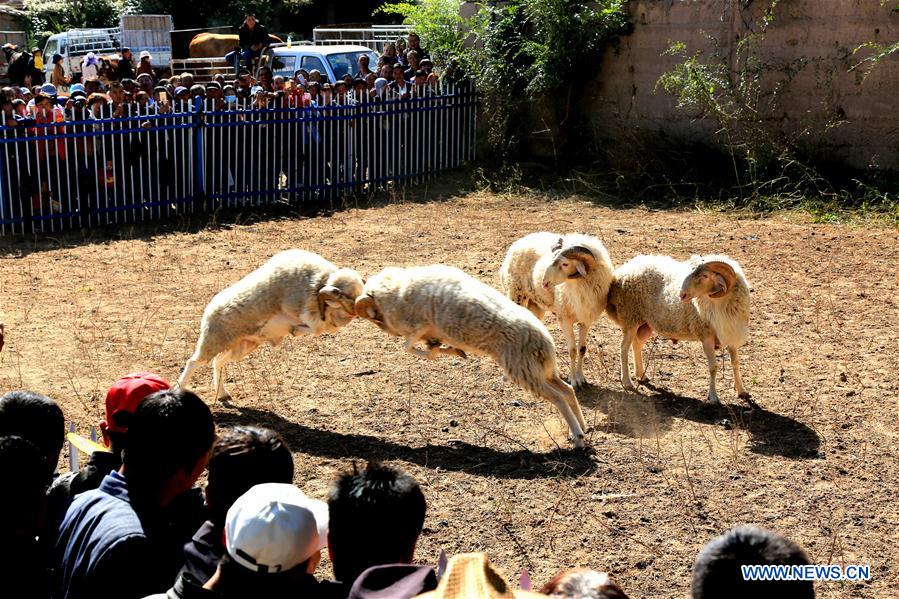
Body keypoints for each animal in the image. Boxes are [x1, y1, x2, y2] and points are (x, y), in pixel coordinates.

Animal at [178, 251, 364, 400]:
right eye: (347, 296)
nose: (361, 310)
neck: (317, 282)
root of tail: (209, 309)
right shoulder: (305, 315)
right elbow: (311, 328)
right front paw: (295, 330)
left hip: (242, 346)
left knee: (218, 362)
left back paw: (222, 393)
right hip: (213, 340)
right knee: (193, 362)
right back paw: (180, 389)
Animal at [356, 264, 596, 448]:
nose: (382, 327)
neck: (398, 292)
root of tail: (544, 339)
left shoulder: (420, 325)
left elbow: (409, 347)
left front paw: (440, 351)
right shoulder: (430, 331)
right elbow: (428, 346)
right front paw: (451, 350)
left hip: (524, 371)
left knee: (558, 398)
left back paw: (578, 437)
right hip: (542, 371)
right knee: (568, 390)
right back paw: (581, 427)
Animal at [500, 232, 620, 386]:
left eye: (565, 264)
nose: (544, 283)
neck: (579, 285)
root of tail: (519, 242)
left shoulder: (585, 320)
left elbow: (582, 349)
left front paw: (581, 377)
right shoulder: (565, 319)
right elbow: (572, 350)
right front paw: (574, 380)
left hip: (535, 305)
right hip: (516, 294)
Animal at [604, 253, 752, 404]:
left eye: (705, 275)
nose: (682, 295)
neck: (720, 303)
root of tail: (624, 269)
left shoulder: (732, 334)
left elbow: (735, 363)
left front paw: (742, 390)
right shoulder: (706, 336)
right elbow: (713, 367)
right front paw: (713, 396)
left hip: (644, 324)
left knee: (637, 344)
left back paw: (641, 375)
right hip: (630, 318)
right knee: (623, 348)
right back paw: (627, 382)